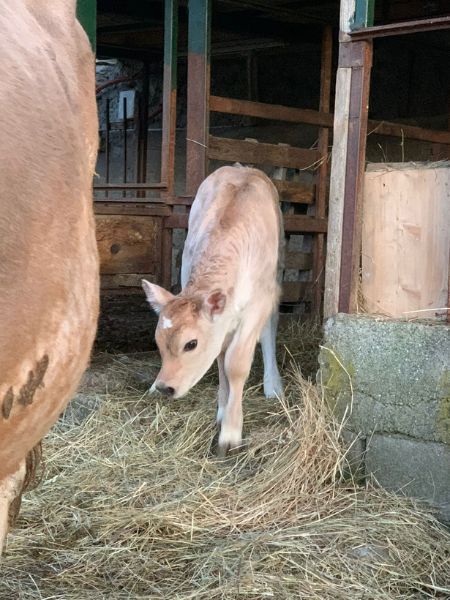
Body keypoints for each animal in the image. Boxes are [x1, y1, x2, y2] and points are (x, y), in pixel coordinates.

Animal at [142, 166, 284, 452]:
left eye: (191, 344)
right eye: (158, 341)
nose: (165, 388)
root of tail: (243, 167)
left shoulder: (258, 303)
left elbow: (236, 363)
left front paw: (230, 432)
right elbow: (219, 358)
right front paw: (221, 411)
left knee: (269, 330)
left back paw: (273, 385)